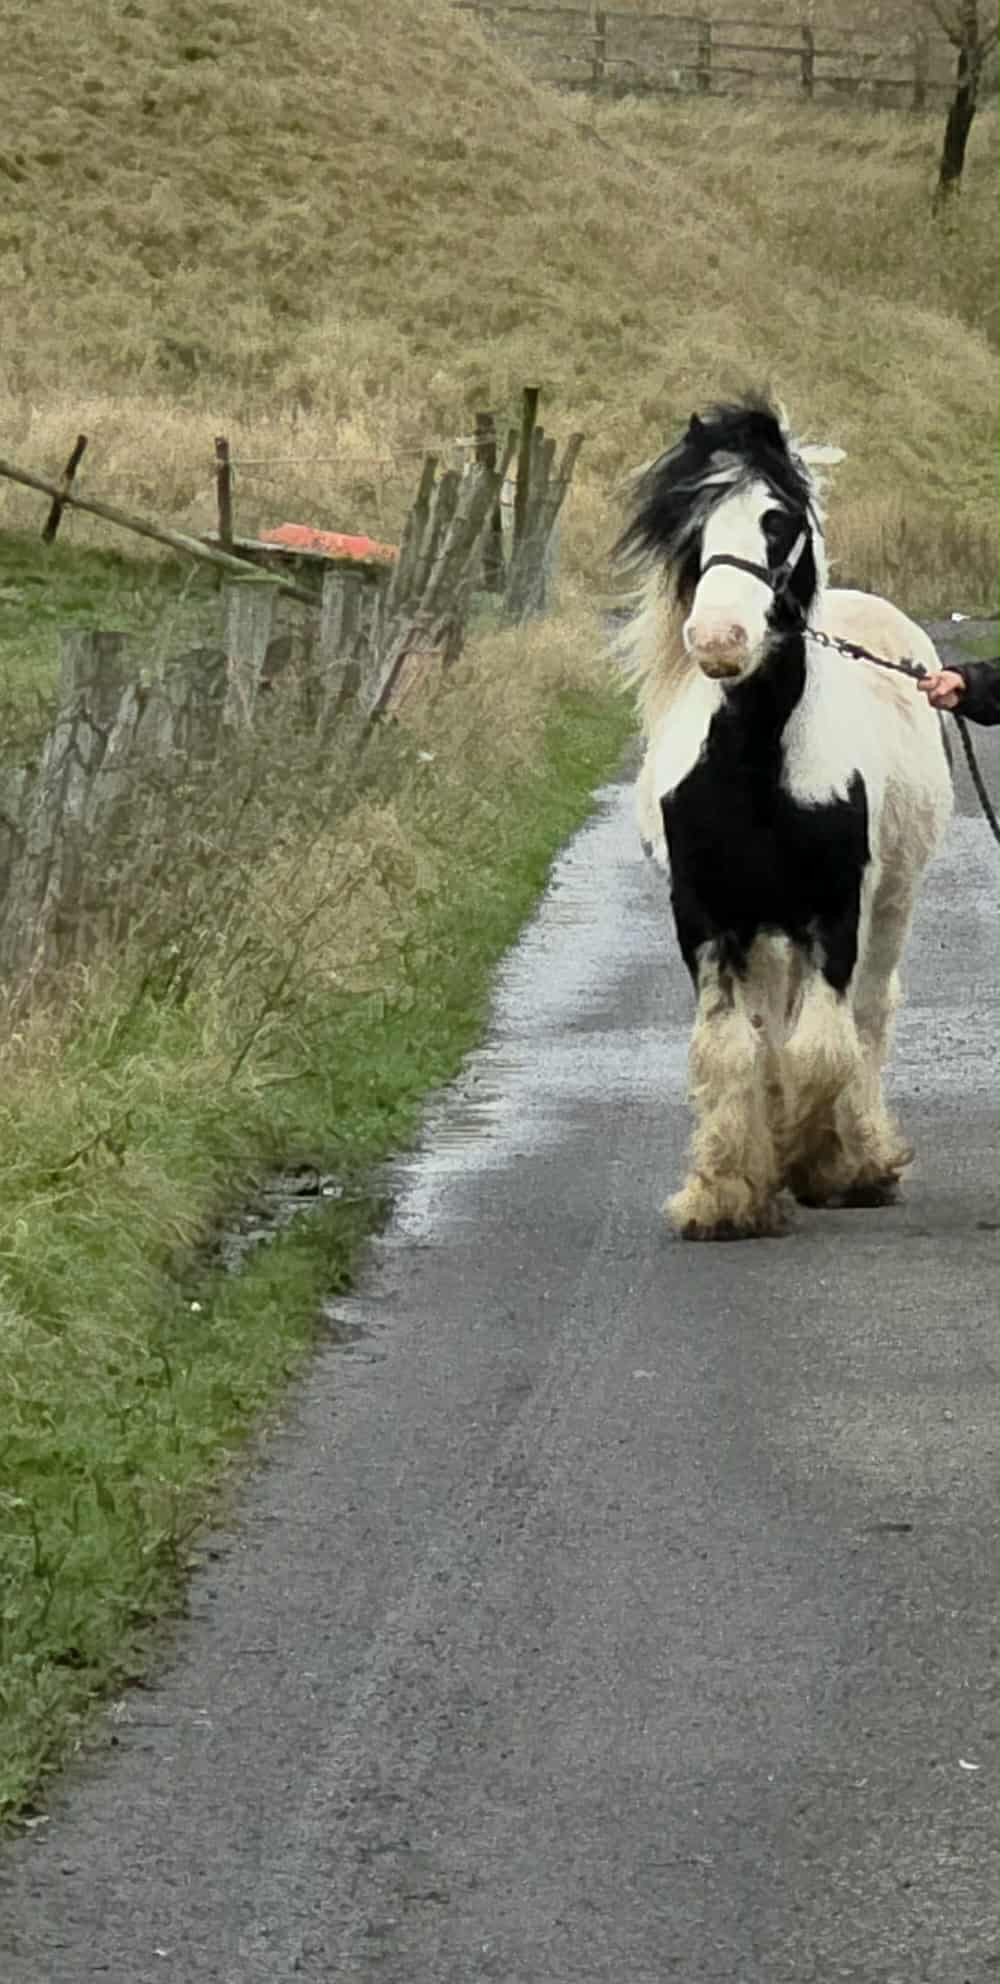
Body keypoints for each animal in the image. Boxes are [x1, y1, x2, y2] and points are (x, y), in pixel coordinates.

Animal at [616, 394, 953, 1242]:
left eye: (778, 519)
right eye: (694, 522)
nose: (718, 639)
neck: (759, 767)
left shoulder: (834, 912)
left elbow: (823, 1048)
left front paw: (823, 1160)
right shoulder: (706, 919)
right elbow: (733, 1048)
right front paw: (726, 1192)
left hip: (887, 902)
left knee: (866, 1016)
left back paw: (861, 1153)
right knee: (775, 1024)